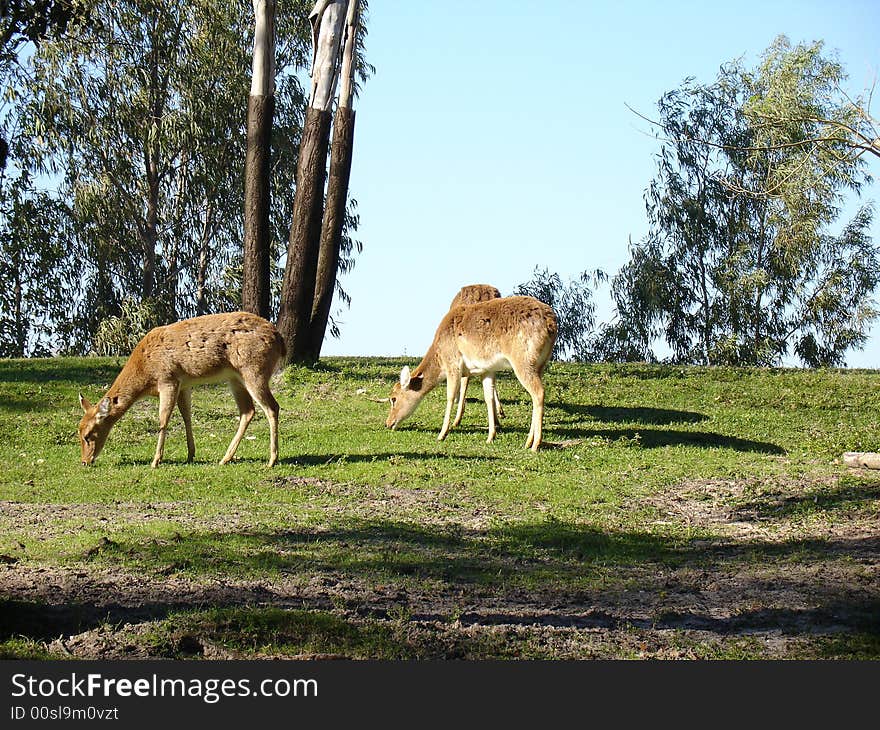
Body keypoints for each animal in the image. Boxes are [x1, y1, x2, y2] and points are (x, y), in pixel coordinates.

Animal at [78, 308, 286, 466]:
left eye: (88, 435)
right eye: (78, 430)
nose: (85, 461)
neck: (145, 375)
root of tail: (279, 339)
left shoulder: (168, 379)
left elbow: (163, 419)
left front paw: (156, 461)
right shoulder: (184, 384)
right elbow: (186, 415)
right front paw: (190, 454)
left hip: (254, 370)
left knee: (272, 407)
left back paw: (271, 460)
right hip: (235, 378)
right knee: (248, 411)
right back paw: (225, 458)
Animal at [384, 296, 556, 450]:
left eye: (393, 398)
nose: (388, 423)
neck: (439, 356)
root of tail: (552, 324)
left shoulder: (453, 363)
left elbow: (451, 396)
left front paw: (442, 434)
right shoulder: (487, 369)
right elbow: (488, 398)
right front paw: (490, 436)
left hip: (523, 362)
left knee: (539, 392)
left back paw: (534, 444)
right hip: (540, 364)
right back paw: (528, 442)